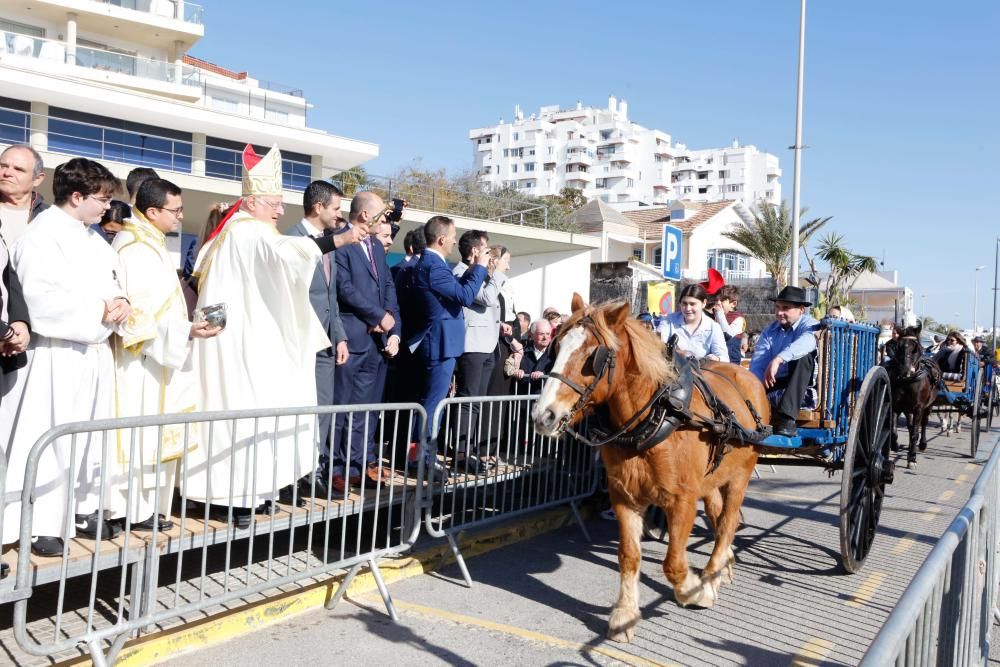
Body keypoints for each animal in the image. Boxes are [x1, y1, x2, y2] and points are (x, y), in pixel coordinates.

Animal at [532, 296, 772, 640]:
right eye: (557, 347)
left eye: (594, 356)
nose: (544, 416)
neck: (657, 414)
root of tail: (748, 376)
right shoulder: (624, 496)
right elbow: (629, 555)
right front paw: (625, 614)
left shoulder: (682, 500)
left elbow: (673, 563)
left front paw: (695, 590)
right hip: (713, 480)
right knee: (718, 515)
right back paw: (724, 565)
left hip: (740, 476)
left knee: (727, 523)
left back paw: (712, 573)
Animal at [888, 324, 940, 470]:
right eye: (898, 346)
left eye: (917, 348)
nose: (906, 372)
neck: (907, 382)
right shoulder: (896, 406)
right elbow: (894, 431)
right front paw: (894, 445)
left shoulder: (918, 409)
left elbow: (916, 433)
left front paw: (912, 458)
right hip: (907, 409)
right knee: (911, 427)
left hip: (928, 406)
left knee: (923, 424)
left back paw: (922, 444)